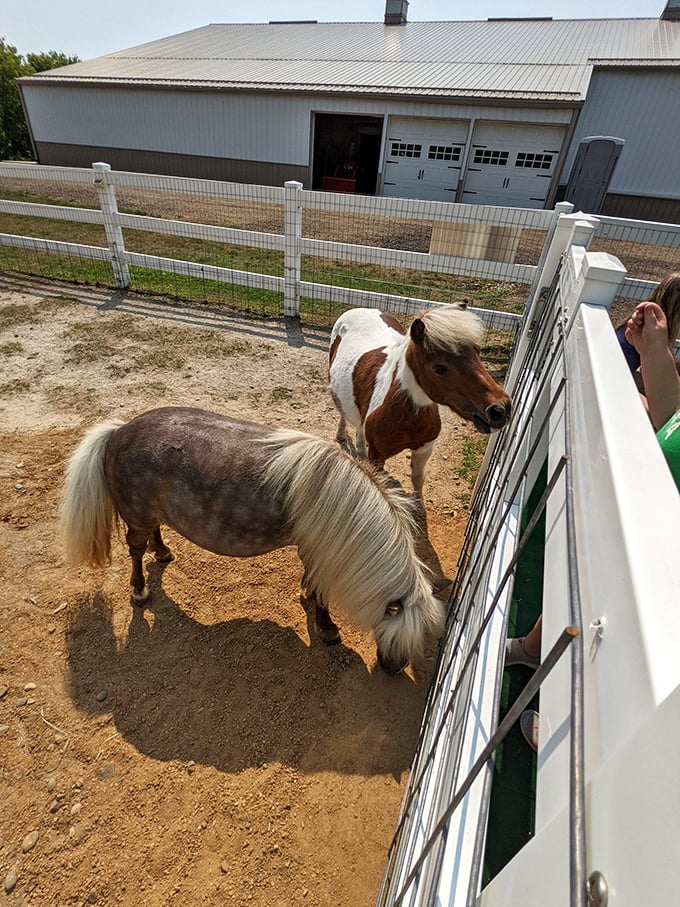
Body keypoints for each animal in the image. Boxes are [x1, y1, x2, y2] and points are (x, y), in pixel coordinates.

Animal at [328, 306, 510, 496]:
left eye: (477, 351)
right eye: (438, 368)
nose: (500, 409)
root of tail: (361, 309)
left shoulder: (424, 449)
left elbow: (417, 479)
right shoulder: (377, 455)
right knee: (342, 411)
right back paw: (341, 435)